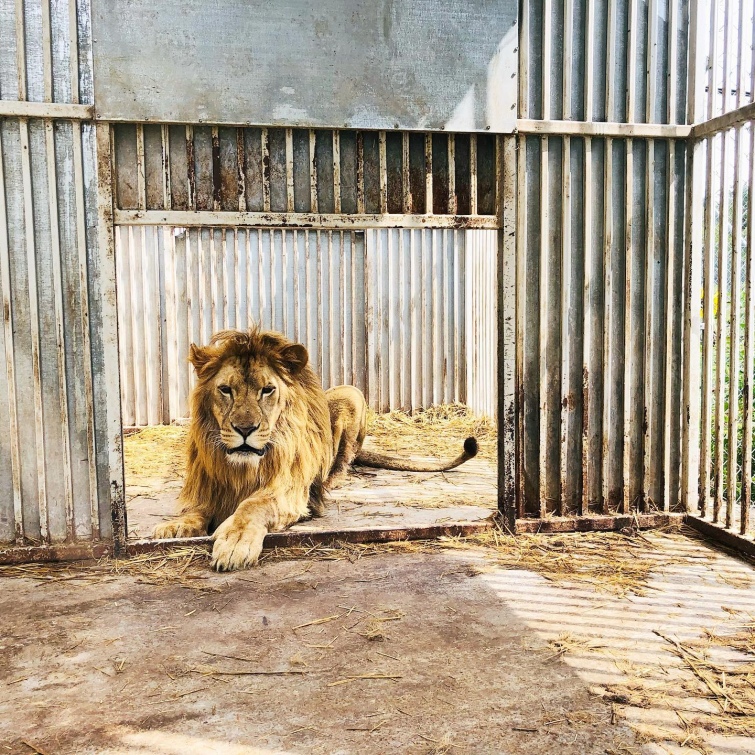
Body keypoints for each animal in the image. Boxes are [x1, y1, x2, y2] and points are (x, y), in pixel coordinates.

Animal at [153, 328, 478, 571]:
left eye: (267, 390)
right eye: (225, 390)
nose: (245, 430)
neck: (242, 468)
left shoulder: (291, 492)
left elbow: (252, 505)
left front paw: (235, 542)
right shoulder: (209, 487)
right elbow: (197, 509)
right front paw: (173, 527)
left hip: (349, 395)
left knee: (343, 461)